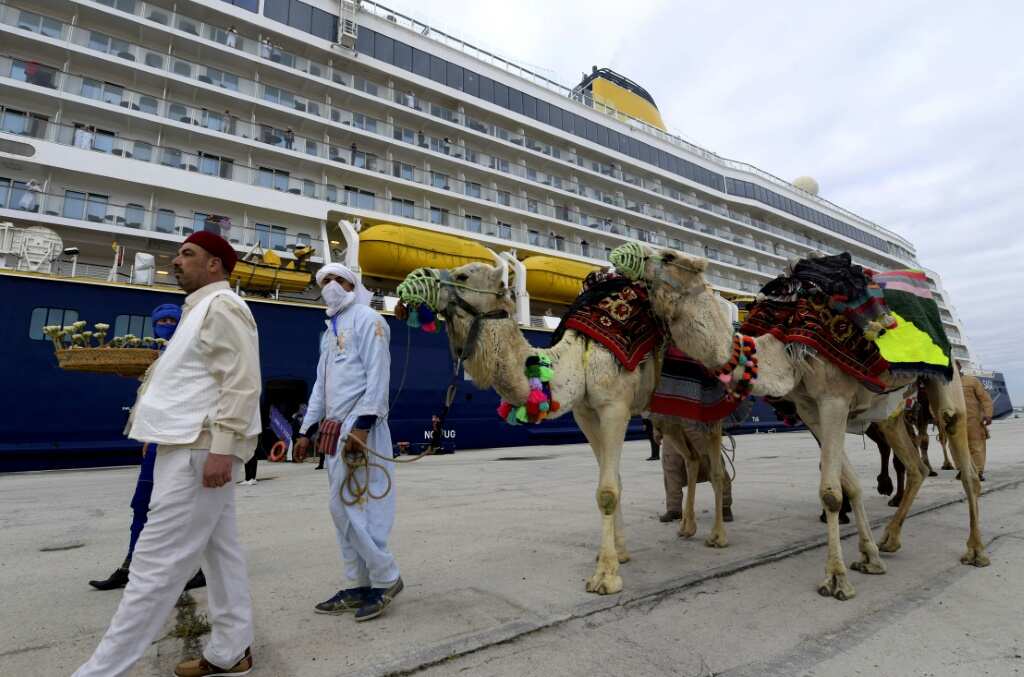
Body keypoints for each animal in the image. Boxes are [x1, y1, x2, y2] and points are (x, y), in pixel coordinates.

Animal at [397, 261, 729, 594]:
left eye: (463, 274)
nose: (413, 281)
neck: (577, 359)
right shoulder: (585, 414)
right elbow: (616, 483)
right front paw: (620, 554)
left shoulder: (614, 408)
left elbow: (607, 491)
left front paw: (605, 576)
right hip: (665, 414)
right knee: (691, 458)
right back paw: (687, 527)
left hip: (707, 401)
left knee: (714, 466)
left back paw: (718, 536)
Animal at [610, 243, 987, 602]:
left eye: (668, 256)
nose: (620, 256)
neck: (783, 352)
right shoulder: (810, 410)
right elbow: (849, 485)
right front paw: (869, 557)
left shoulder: (833, 399)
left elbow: (831, 492)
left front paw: (836, 579)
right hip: (890, 411)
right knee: (915, 465)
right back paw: (891, 539)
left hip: (946, 378)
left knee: (962, 456)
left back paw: (976, 550)